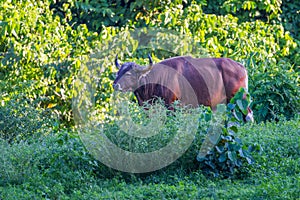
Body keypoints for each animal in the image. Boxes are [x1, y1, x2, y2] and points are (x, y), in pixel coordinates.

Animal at [112, 54, 253, 122]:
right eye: (118, 72)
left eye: (129, 74)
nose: (115, 85)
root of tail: (241, 67)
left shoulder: (171, 106)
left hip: (240, 99)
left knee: (249, 115)